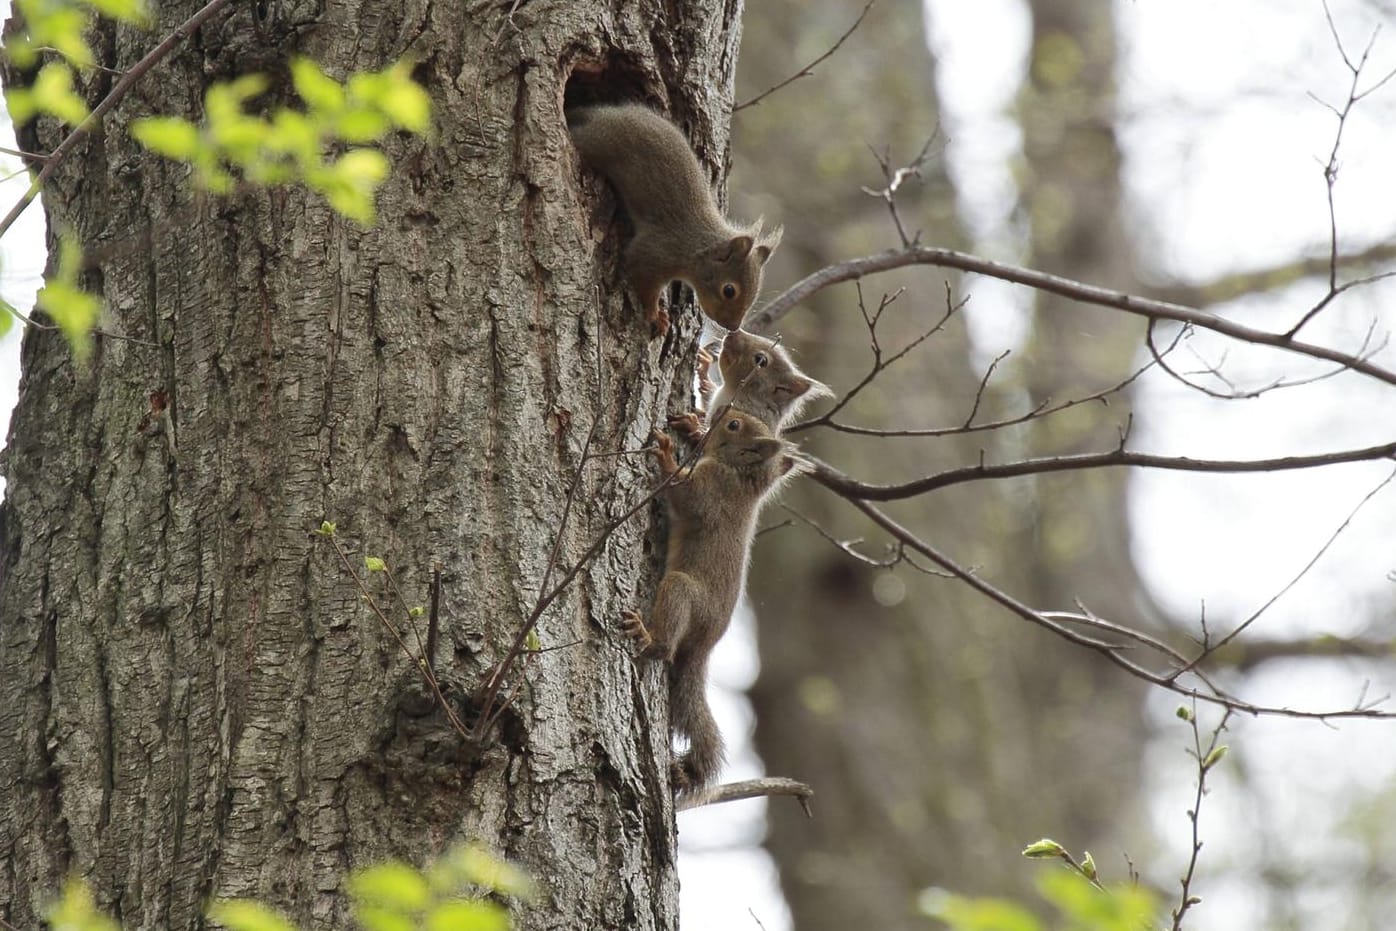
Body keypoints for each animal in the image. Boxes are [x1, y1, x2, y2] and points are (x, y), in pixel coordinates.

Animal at [566, 103, 787, 336]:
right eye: (729, 290)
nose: (733, 327)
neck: (697, 246)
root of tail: (599, 114)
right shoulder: (656, 253)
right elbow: (641, 277)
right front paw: (656, 316)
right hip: (595, 141)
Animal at [625, 410, 809, 792]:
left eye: (734, 426)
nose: (725, 412)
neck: (743, 477)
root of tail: (704, 645)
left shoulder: (712, 488)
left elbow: (687, 495)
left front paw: (667, 455)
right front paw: (690, 427)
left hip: (682, 592)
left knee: (665, 646)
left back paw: (649, 638)